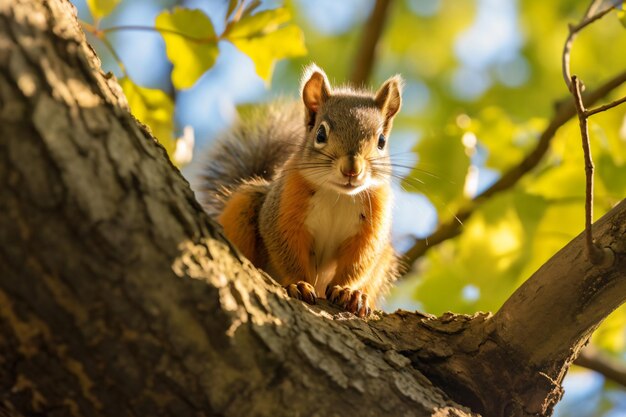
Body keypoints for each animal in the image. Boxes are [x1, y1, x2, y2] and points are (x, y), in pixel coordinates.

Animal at [202, 65, 402, 316]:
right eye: (320, 134)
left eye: (382, 141)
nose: (351, 170)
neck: (337, 195)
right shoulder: (283, 209)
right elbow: (286, 248)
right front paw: (298, 283)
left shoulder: (372, 225)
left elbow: (359, 261)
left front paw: (349, 291)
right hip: (245, 204)